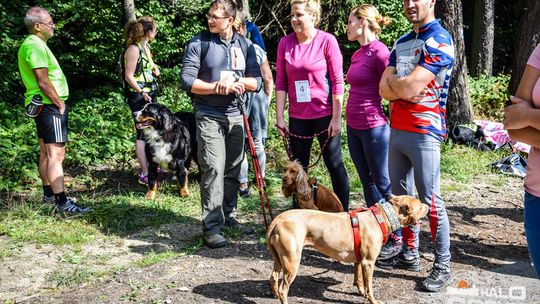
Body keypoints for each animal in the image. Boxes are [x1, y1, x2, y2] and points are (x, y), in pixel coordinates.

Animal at [266, 195, 426, 304]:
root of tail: (277, 220)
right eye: (420, 207)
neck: (381, 217)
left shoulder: (359, 260)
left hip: (279, 258)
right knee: (284, 288)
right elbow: (369, 285)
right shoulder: (368, 262)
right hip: (292, 261)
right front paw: (372, 300)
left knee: (273, 277)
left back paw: (275, 294)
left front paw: (362, 293)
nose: (428, 206)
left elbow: (359, 280)